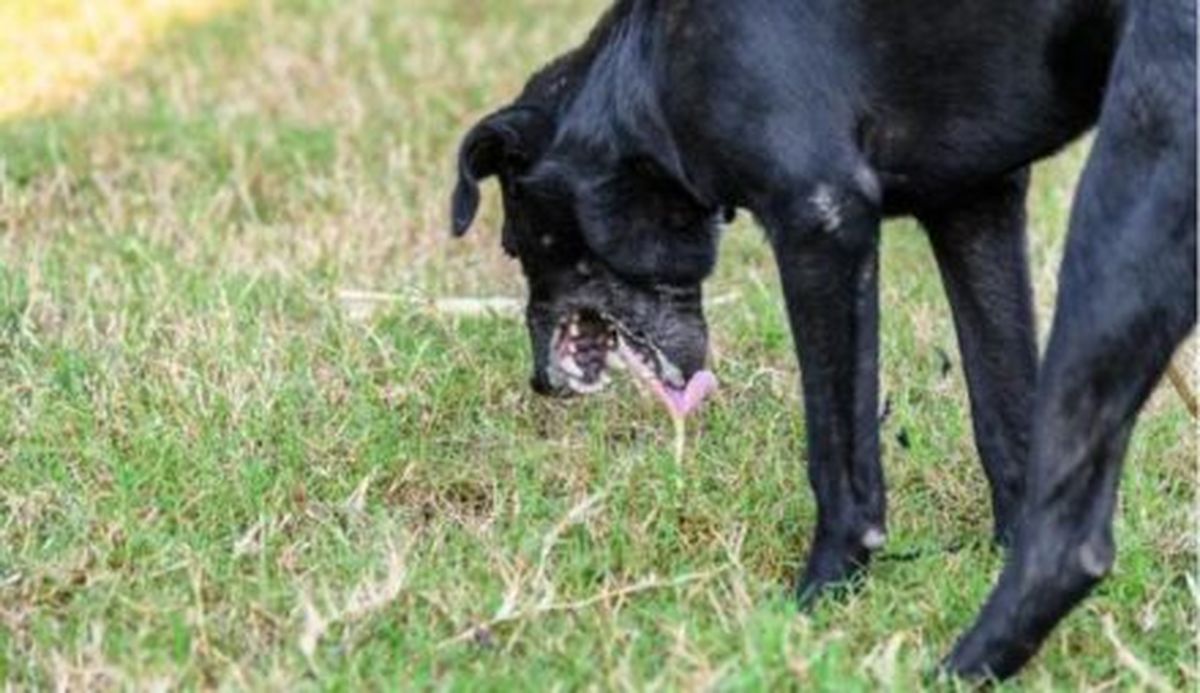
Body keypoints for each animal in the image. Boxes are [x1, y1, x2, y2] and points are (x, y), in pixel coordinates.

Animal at [448, 0, 1190, 681]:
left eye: (516, 245)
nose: (539, 382)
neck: (646, 69)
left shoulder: (822, 221)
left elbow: (840, 459)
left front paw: (816, 601)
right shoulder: (975, 207)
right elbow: (1005, 425)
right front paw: (991, 553)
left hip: (1126, 207)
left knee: (1073, 543)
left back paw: (949, 670)